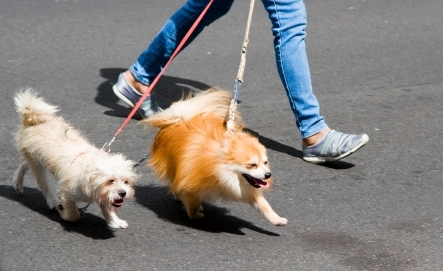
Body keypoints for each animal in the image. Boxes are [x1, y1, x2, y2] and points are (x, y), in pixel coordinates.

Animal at [12, 89, 139, 230]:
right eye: (110, 181)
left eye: (126, 181)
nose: (123, 193)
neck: (88, 175)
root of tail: (32, 119)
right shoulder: (67, 193)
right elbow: (73, 215)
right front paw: (64, 213)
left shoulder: (101, 193)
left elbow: (107, 207)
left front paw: (114, 221)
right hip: (37, 163)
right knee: (42, 182)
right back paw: (52, 200)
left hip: (34, 157)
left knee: (24, 163)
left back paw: (17, 183)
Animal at [143, 88, 288, 226]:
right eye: (252, 165)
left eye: (265, 162)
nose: (268, 174)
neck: (220, 170)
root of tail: (181, 118)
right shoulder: (191, 183)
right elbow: (192, 204)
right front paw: (196, 215)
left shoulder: (247, 189)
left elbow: (264, 205)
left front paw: (277, 219)